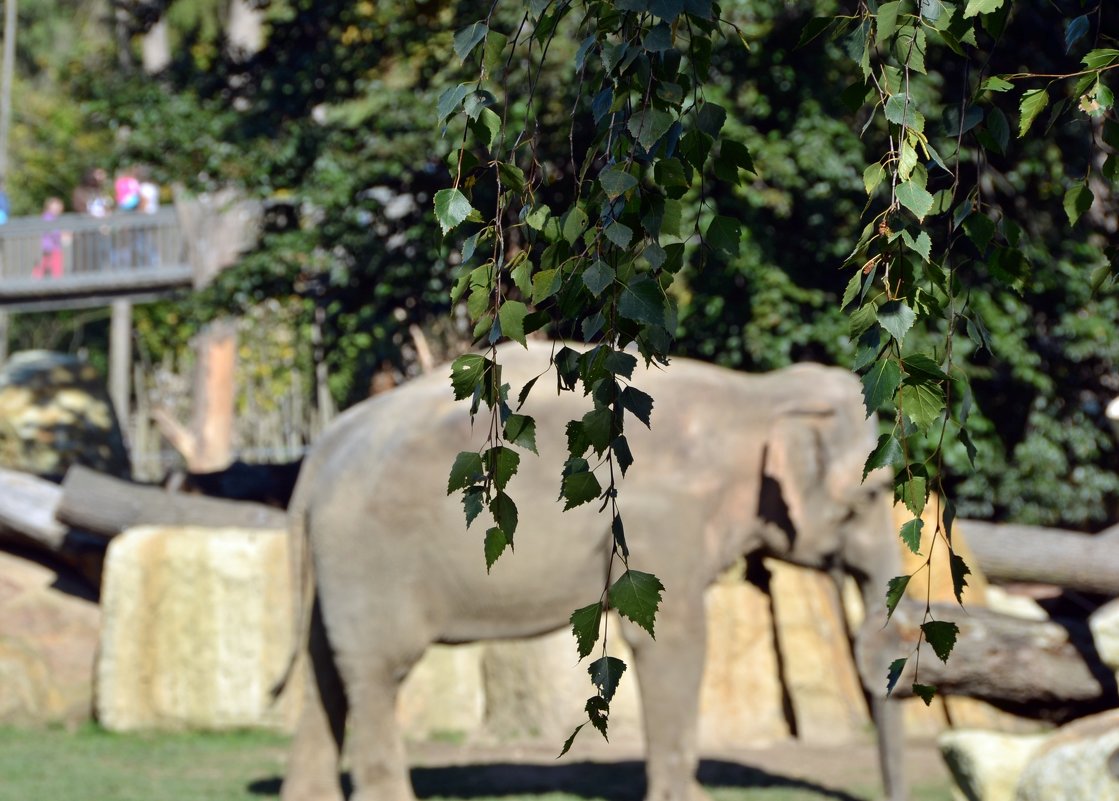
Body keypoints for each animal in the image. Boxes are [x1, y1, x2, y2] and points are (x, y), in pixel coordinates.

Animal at [275, 340, 904, 801]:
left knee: (324, 668)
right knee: (377, 670)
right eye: (873, 494)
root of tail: (320, 452)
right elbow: (673, 639)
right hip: (369, 557)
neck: (758, 395)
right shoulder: (661, 520)